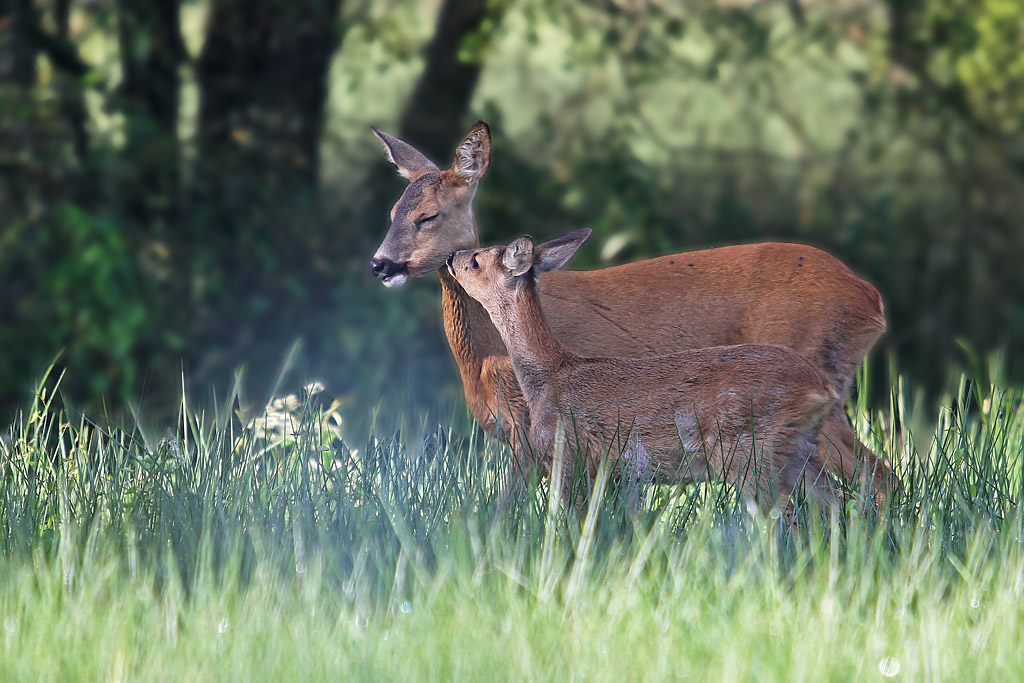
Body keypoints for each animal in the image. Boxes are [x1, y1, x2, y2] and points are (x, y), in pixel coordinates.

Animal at [448, 229, 839, 511]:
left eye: (477, 261)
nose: (452, 256)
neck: (549, 375)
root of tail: (822, 388)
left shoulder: (569, 453)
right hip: (799, 449)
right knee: (833, 508)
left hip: (749, 448)